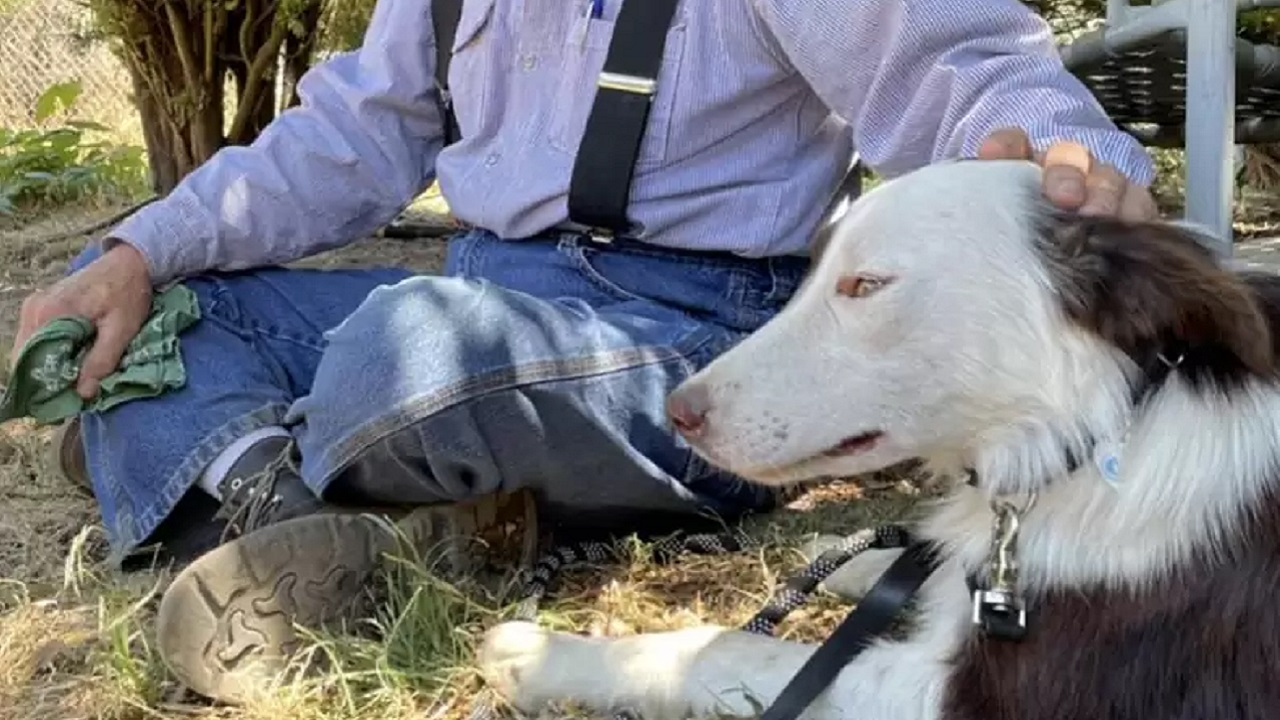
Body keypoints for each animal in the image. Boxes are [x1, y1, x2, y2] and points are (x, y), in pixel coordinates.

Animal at [473, 159, 1280, 717]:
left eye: (865, 286)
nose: (679, 412)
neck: (1090, 439)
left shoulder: (986, 695)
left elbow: (724, 649)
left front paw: (547, 657)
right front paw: (857, 556)